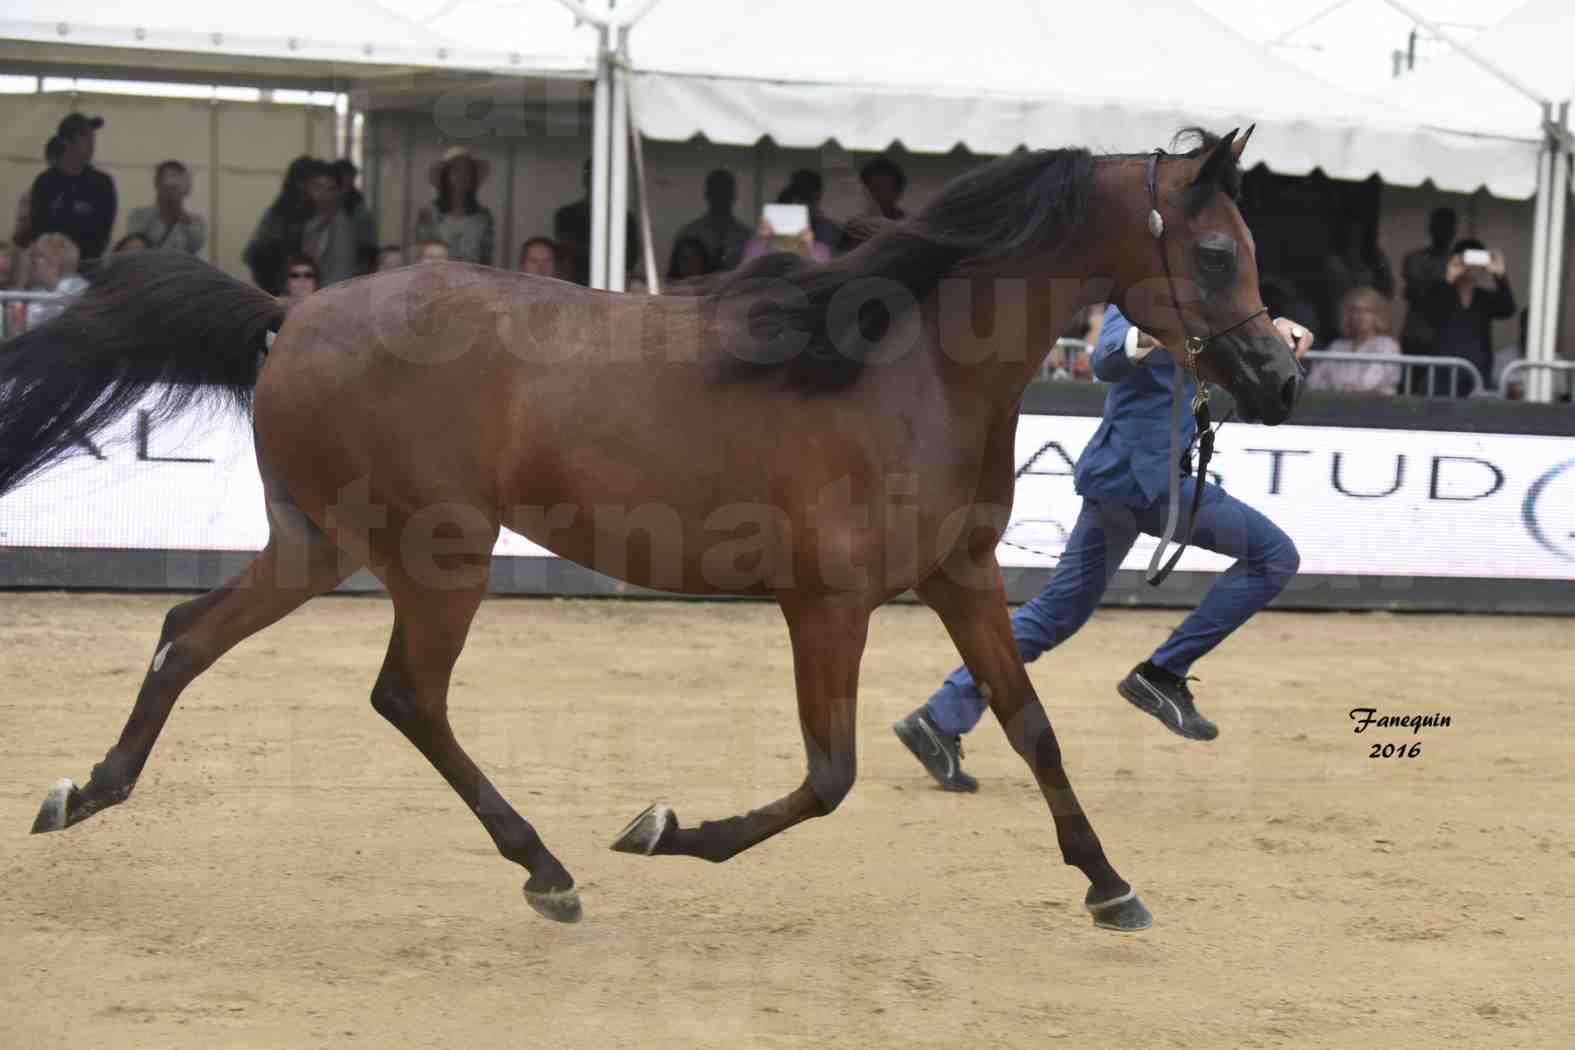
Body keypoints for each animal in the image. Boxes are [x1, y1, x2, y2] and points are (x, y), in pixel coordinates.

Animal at [6, 127, 1297, 931]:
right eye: (1216, 249)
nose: (1279, 377)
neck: (904, 366)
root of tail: (294, 311)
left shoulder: (960, 579)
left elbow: (1031, 730)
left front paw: (1111, 888)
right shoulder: (827, 603)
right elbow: (830, 776)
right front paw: (664, 829)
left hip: (318, 542)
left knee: (189, 630)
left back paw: (85, 792)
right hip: (439, 555)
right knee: (405, 697)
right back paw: (550, 870)